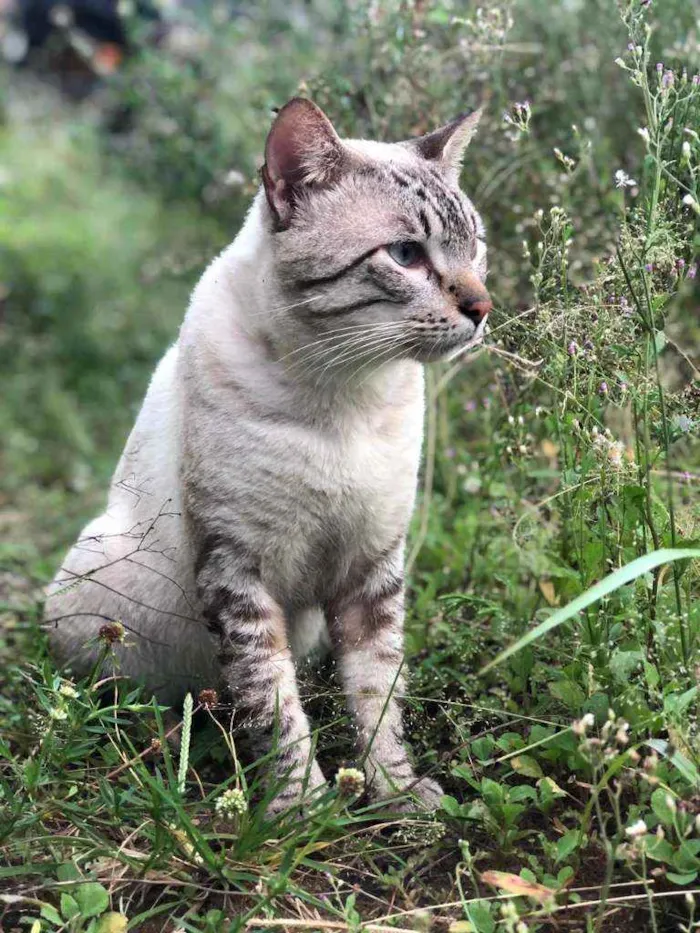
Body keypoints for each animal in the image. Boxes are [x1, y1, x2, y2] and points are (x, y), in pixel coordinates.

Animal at [45, 98, 492, 812]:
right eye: (406, 255)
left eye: (473, 245)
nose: (482, 307)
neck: (343, 393)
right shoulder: (237, 572)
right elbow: (273, 705)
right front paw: (300, 810)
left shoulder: (372, 568)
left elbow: (378, 692)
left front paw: (395, 794)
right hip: (99, 588)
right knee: (149, 697)